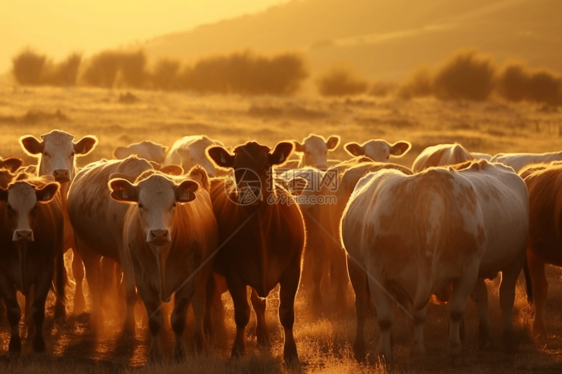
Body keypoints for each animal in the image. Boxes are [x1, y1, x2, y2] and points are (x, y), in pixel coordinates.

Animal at [0, 174, 64, 352]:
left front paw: (39, 344)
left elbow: (37, 308)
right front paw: (15, 345)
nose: (23, 234)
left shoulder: (45, 270)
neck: (22, 247)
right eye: (9, 206)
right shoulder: (3, 273)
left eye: (35, 206)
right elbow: (13, 310)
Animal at [109, 168, 217, 360]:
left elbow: (179, 320)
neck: (162, 254)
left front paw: (179, 354)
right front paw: (154, 355)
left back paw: (199, 340)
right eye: (140, 205)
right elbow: (155, 320)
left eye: (173, 204)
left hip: (203, 273)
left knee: (199, 305)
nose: (159, 233)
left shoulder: (189, 281)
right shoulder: (143, 282)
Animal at [206, 141, 304, 366]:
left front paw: (291, 354)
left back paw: (263, 336)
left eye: (266, 167)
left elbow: (286, 313)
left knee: (259, 303)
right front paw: (237, 351)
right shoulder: (234, 273)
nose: (248, 193)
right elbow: (242, 313)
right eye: (236, 169)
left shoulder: (293, 270)